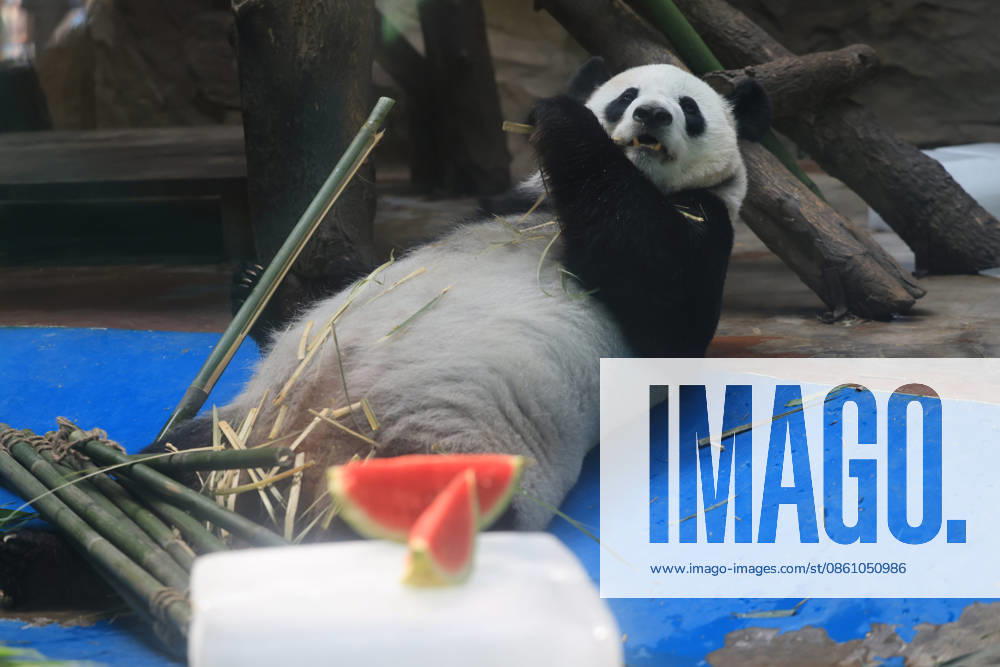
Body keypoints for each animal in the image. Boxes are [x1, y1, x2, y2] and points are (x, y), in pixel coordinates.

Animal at [157, 58, 771, 534]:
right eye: (627, 95)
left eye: (689, 107)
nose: (652, 115)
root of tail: (294, 481)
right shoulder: (496, 206)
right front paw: (257, 283)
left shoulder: (703, 230)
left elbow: (661, 296)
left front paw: (562, 118)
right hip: (243, 426)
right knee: (177, 452)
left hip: (451, 450)